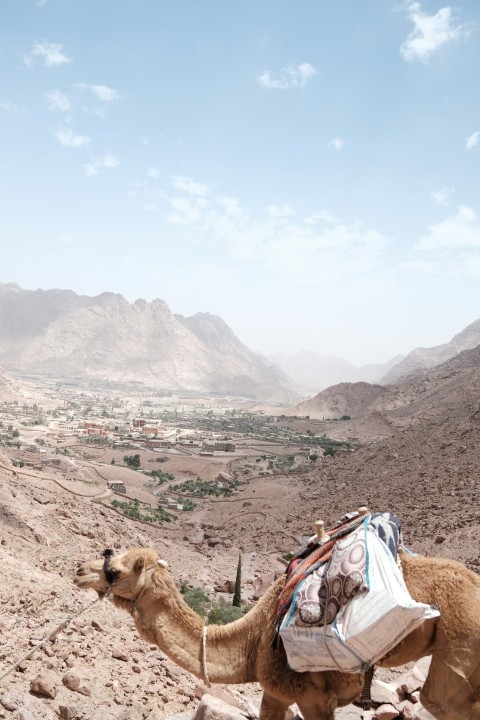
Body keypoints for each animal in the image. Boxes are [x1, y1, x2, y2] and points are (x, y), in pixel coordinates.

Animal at [73, 544, 480, 720]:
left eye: (117, 570)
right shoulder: (276, 693)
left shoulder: (316, 698)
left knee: (442, 702)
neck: (253, 639)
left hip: (463, 635)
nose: (79, 570)